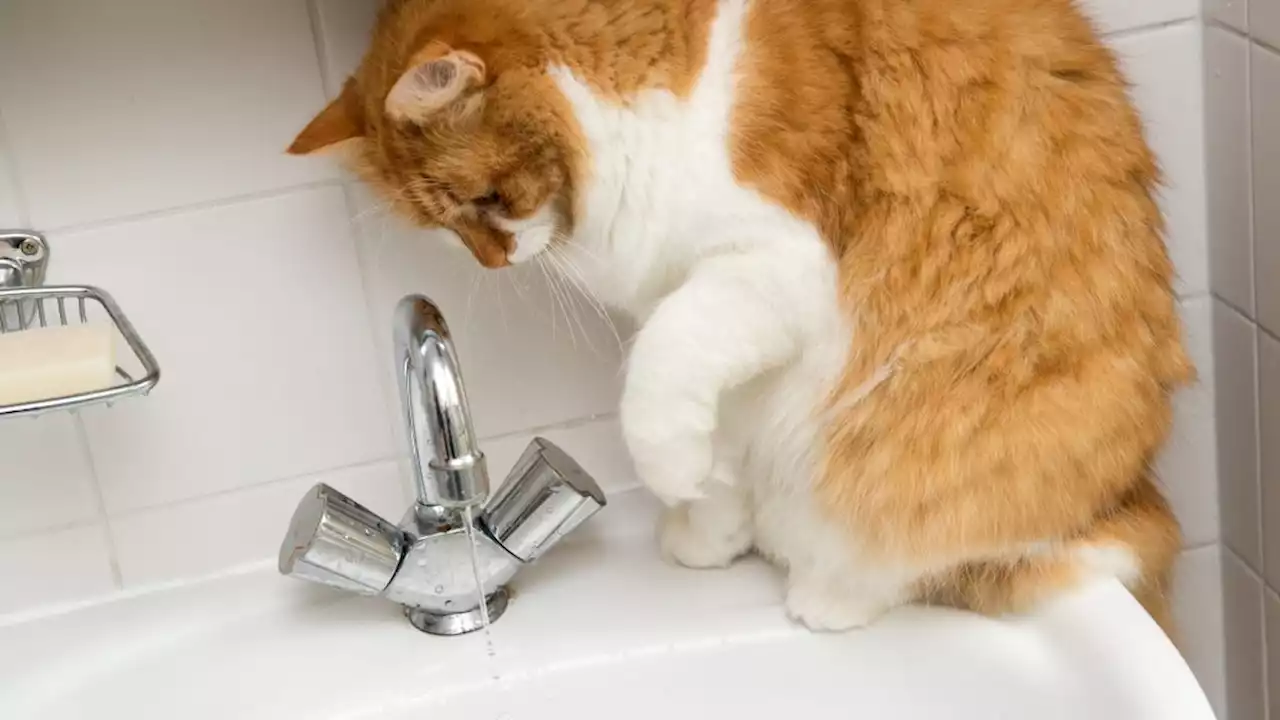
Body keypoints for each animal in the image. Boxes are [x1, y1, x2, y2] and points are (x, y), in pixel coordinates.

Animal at [290, 0, 1187, 627]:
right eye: (447, 227)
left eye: (484, 202)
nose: (495, 264)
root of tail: (1133, 497)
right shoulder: (696, 303)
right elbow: (709, 445)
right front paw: (704, 523)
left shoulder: (772, 265)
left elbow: (657, 383)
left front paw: (669, 472)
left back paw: (827, 596)